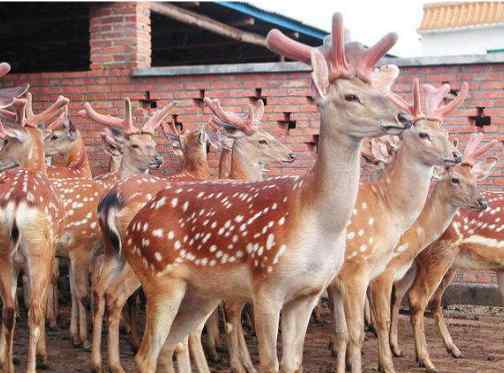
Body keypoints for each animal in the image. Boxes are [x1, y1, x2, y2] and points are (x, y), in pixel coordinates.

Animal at [119, 12, 414, 372]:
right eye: (351, 96)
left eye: (374, 88)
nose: (403, 116)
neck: (315, 219)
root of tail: (133, 225)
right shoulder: (267, 288)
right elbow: (270, 363)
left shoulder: (308, 294)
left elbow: (292, 363)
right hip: (159, 279)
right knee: (146, 353)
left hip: (201, 293)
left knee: (168, 347)